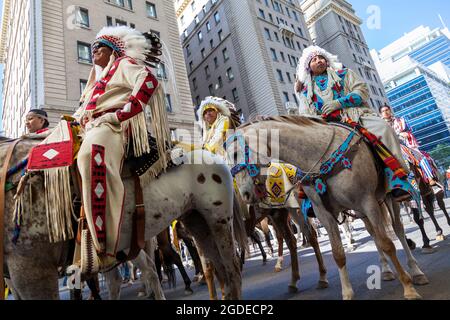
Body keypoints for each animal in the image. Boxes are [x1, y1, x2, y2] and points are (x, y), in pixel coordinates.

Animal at [1, 138, 244, 300]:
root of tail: (208, 152)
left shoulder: (32, 270)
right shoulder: (14, 277)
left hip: (218, 220)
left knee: (231, 270)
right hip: (196, 223)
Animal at [227, 115, 424, 300]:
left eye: (236, 154)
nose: (245, 194)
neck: (319, 156)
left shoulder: (367, 201)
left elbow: (388, 244)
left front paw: (408, 287)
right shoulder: (325, 213)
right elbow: (338, 253)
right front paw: (347, 292)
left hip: (386, 197)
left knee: (398, 229)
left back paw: (416, 271)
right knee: (373, 233)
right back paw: (386, 270)